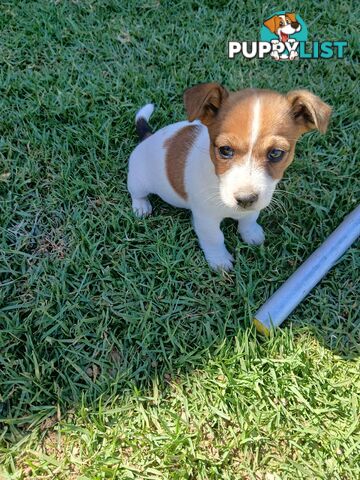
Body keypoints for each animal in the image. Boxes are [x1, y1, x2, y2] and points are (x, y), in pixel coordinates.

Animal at [127, 83, 332, 270]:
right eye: (225, 150)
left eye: (275, 153)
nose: (245, 199)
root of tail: (148, 137)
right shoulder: (206, 219)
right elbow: (214, 238)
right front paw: (219, 260)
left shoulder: (254, 205)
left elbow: (249, 219)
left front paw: (250, 233)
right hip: (138, 180)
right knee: (136, 193)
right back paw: (141, 206)